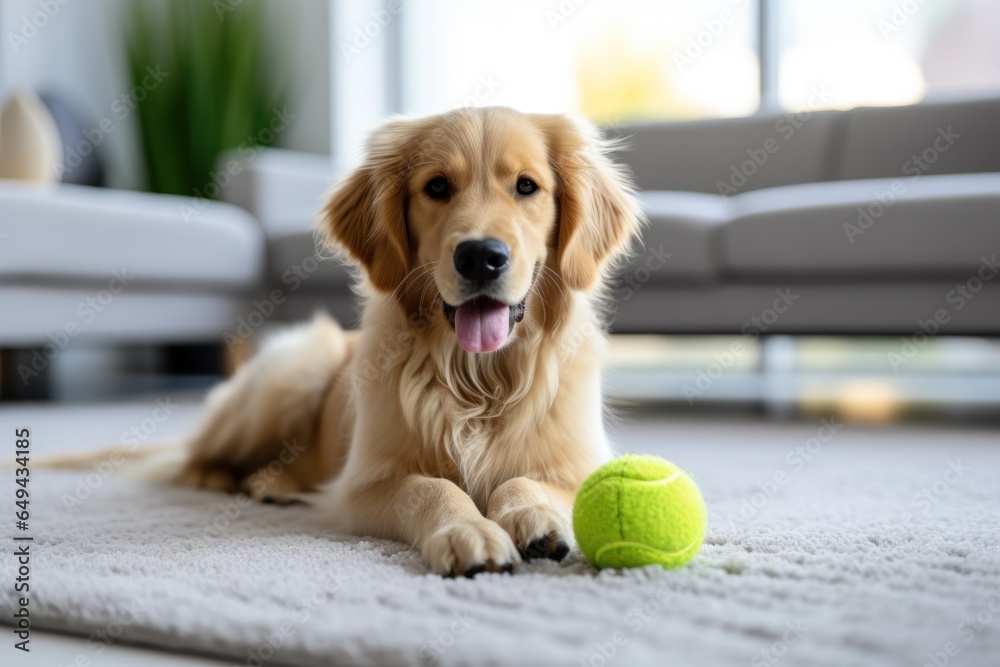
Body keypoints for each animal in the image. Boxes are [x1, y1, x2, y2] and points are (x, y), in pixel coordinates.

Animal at [172, 107, 640, 576]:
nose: (480, 257)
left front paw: (531, 514)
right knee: (191, 455)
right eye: (437, 186)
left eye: (527, 186)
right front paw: (466, 530)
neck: (478, 380)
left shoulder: (582, 468)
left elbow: (524, 480)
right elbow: (429, 488)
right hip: (291, 374)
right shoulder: (361, 488)